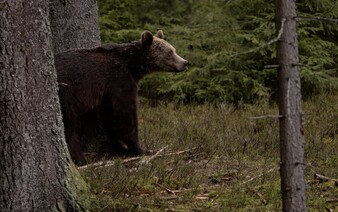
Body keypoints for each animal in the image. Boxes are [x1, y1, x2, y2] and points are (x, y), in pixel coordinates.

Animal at [54, 30, 189, 166]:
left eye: (174, 50)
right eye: (169, 52)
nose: (185, 62)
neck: (132, 66)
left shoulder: (106, 93)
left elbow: (108, 117)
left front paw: (119, 146)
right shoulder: (120, 80)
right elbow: (126, 113)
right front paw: (139, 149)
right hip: (66, 93)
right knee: (68, 124)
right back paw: (79, 158)